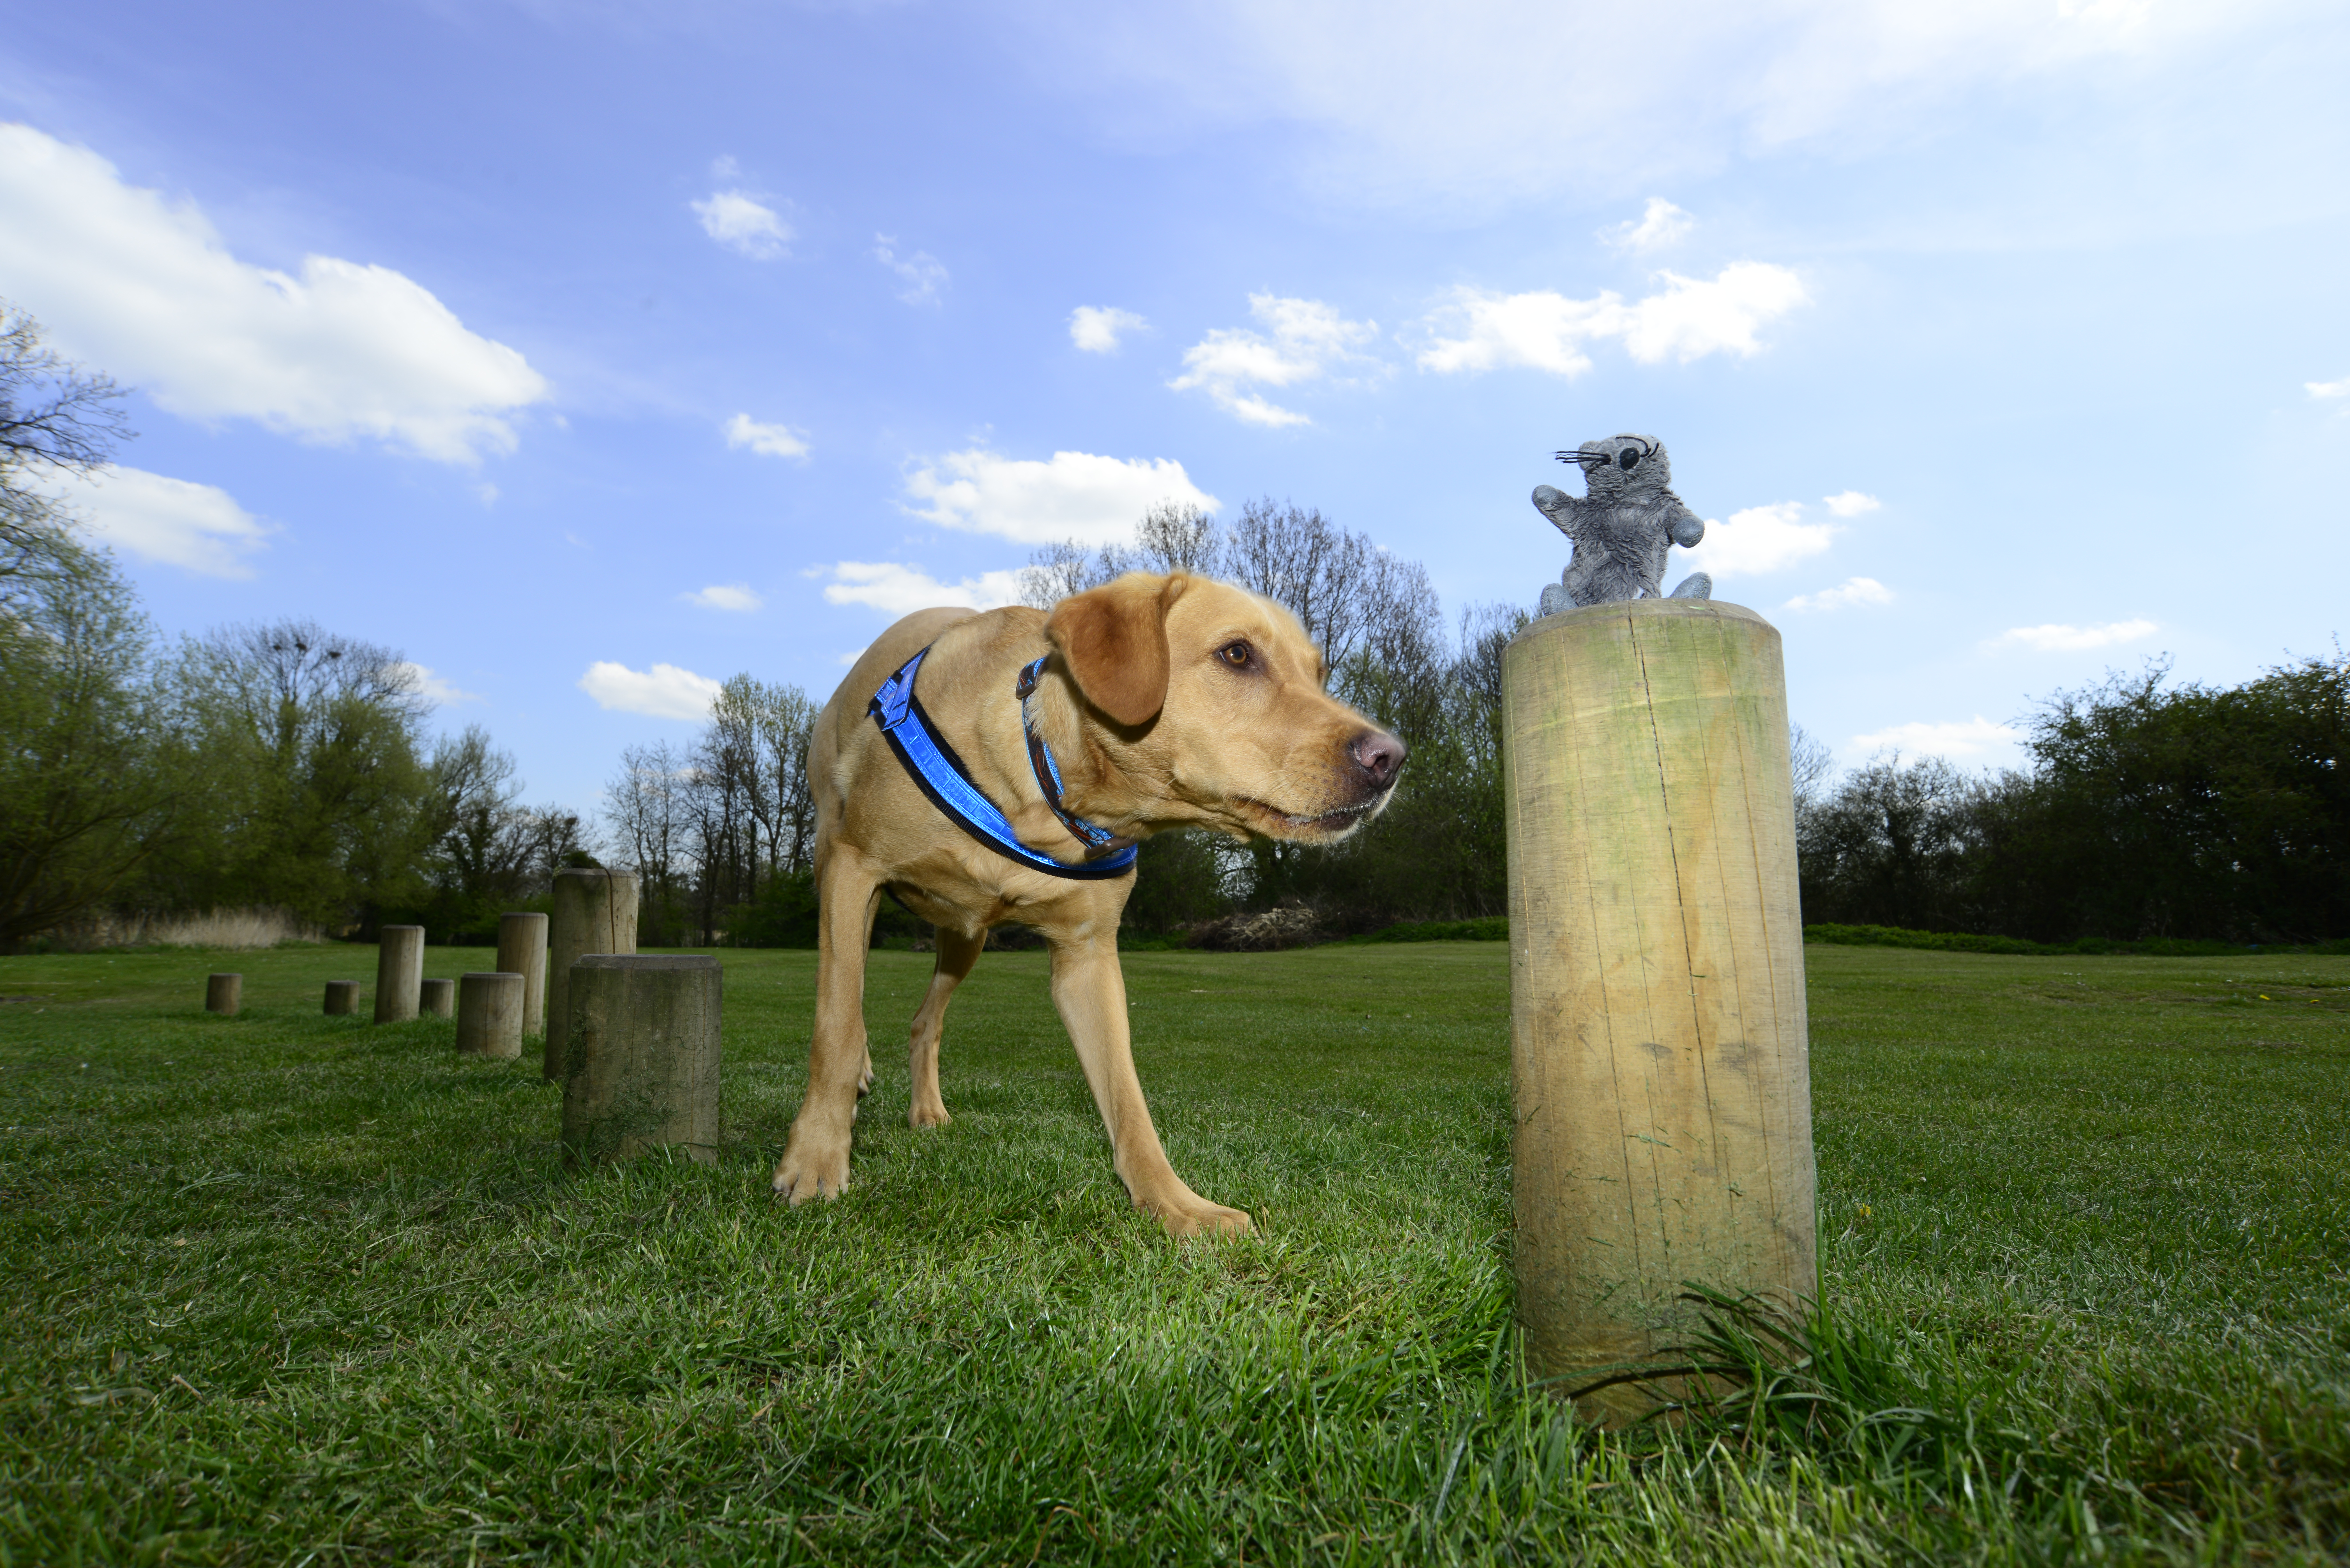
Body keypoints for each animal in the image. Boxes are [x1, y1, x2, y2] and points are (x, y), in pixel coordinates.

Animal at [771, 573, 1400, 1241]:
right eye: (1237, 654)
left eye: (1319, 672)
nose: (1390, 758)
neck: (1043, 786)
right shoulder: (852, 868)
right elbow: (836, 1027)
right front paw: (815, 1159)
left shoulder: (1088, 958)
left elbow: (1127, 1099)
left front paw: (1174, 1201)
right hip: (839, 868)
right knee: (851, 995)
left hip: (966, 936)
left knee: (926, 1019)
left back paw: (927, 1108)